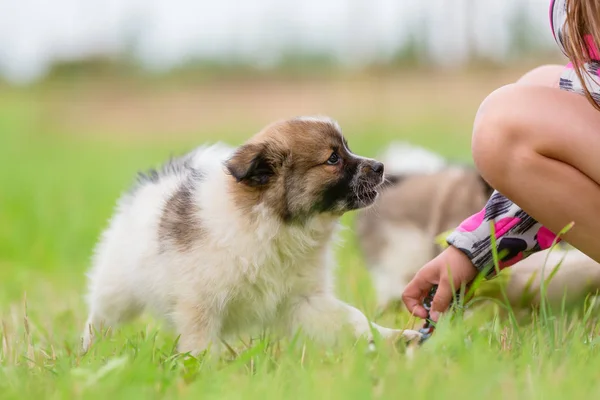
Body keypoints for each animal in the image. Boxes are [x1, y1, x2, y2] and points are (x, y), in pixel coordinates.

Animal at [82, 116, 422, 354]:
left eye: (346, 149)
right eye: (333, 158)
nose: (380, 166)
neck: (276, 225)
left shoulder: (305, 300)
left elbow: (355, 319)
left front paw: (395, 338)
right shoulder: (199, 306)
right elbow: (199, 346)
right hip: (117, 288)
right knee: (99, 317)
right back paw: (89, 353)